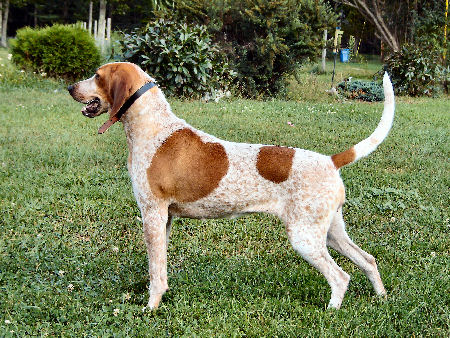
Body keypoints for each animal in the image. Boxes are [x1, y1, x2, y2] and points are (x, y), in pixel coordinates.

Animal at [67, 62, 394, 310]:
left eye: (97, 75)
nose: (70, 88)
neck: (152, 126)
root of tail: (330, 160)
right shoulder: (164, 219)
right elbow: (157, 267)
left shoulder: (152, 215)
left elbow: (156, 273)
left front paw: (151, 307)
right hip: (331, 233)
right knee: (368, 261)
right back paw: (381, 297)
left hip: (305, 238)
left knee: (340, 277)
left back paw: (332, 310)